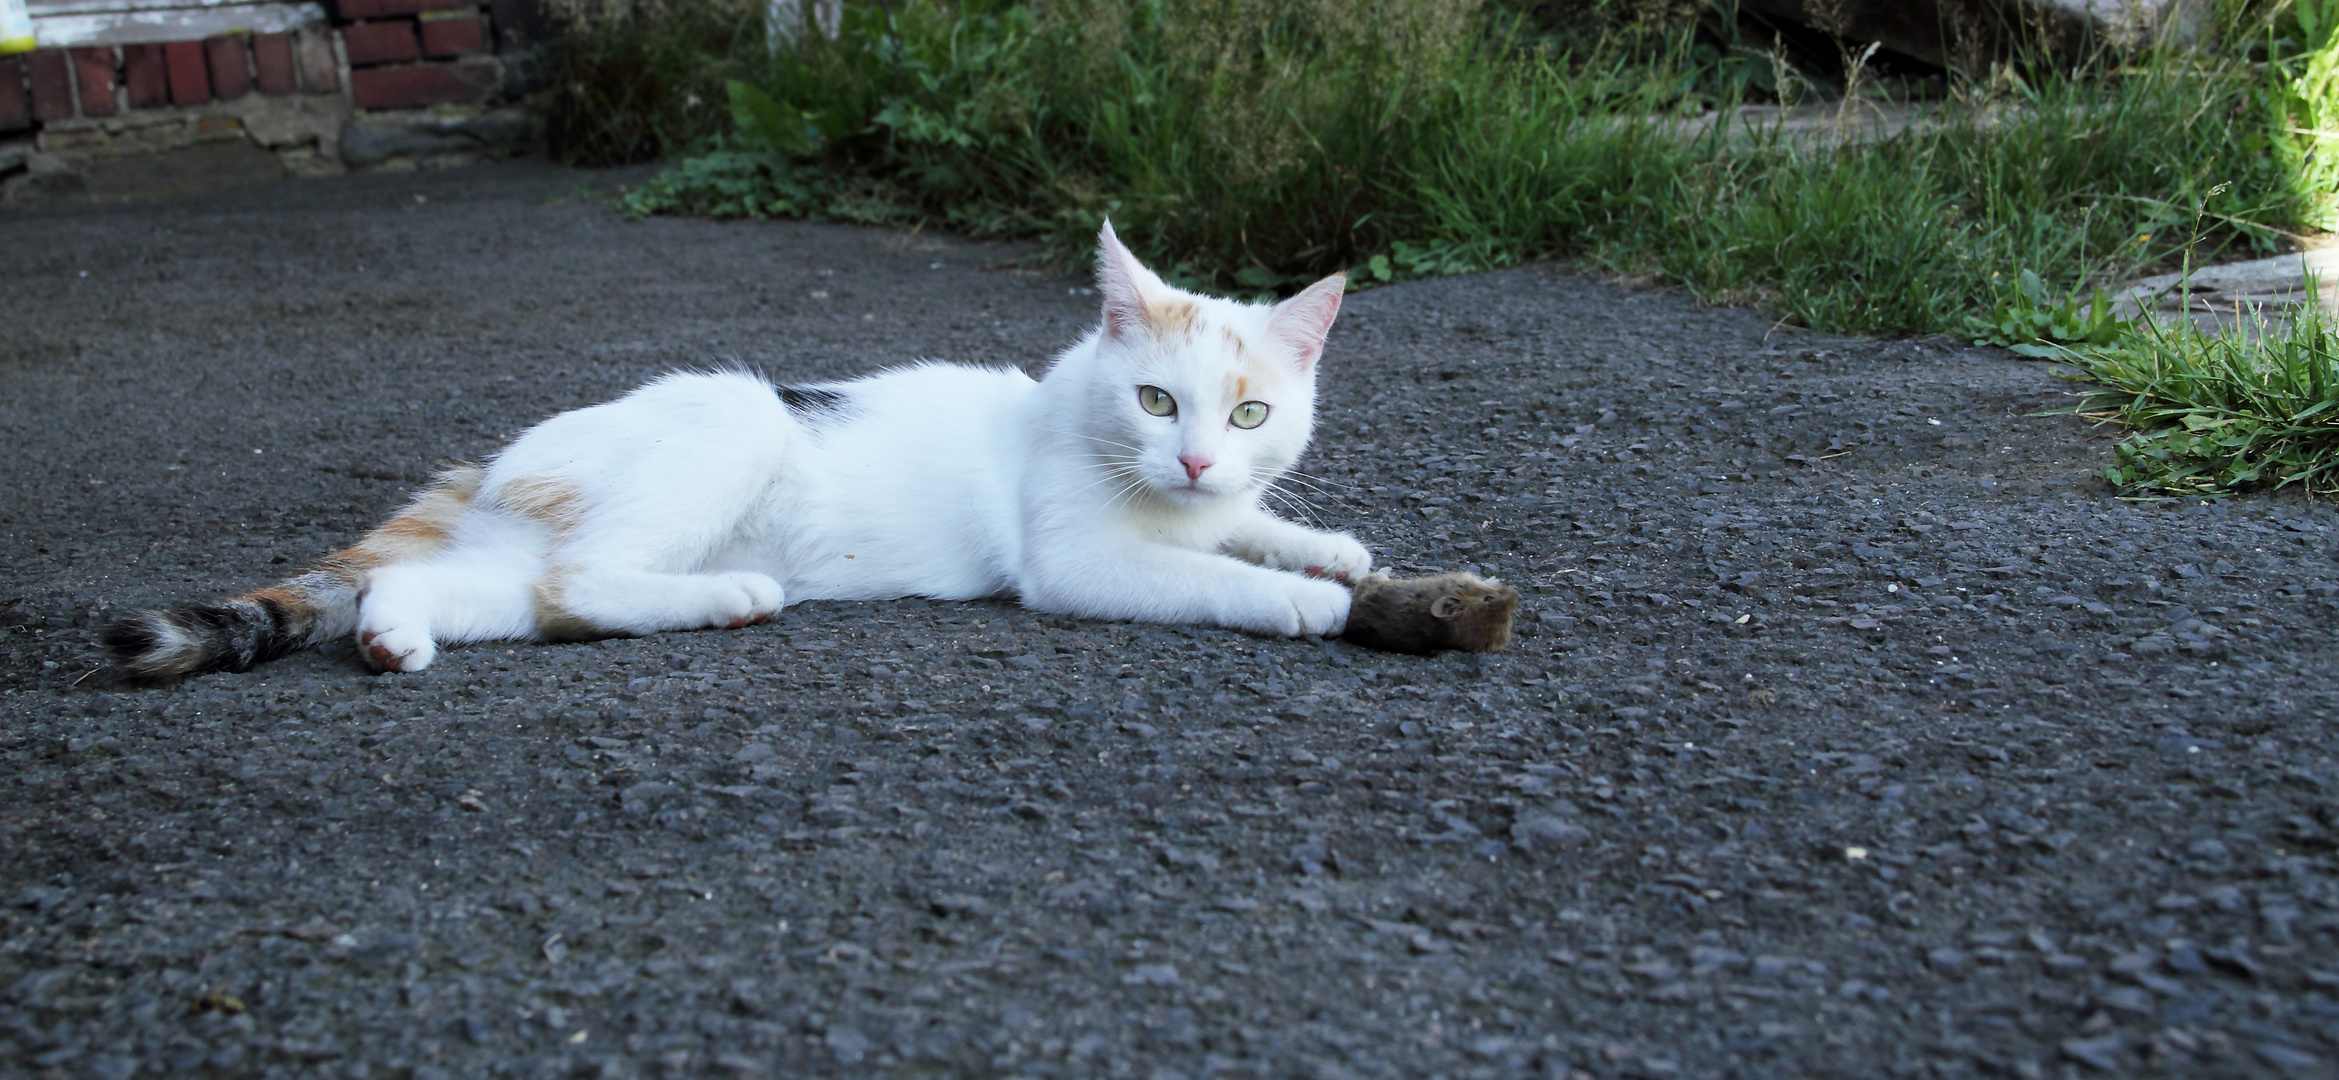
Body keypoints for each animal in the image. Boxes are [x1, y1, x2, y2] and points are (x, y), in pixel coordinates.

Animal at [105, 222, 1365, 673]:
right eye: (1153, 400)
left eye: (1248, 416)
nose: (1191, 460)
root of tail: (493, 462)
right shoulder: (1076, 560)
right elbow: (1190, 574)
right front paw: (1297, 599)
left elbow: (1242, 530)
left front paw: (1321, 548)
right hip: (737, 422)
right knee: (580, 582)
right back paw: (738, 597)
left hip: (511, 567)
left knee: (511, 594)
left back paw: (395, 635)